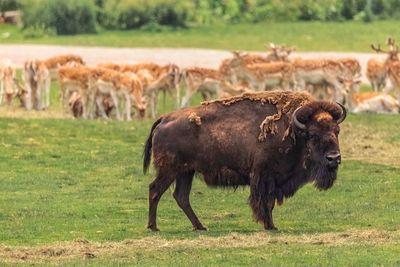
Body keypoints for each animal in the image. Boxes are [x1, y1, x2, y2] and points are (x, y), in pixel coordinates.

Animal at [144, 91, 346, 231]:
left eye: (336, 131)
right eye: (313, 135)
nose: (333, 158)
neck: (294, 132)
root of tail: (164, 119)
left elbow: (269, 202)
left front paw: (270, 225)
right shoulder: (265, 176)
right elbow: (266, 202)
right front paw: (270, 226)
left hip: (186, 172)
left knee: (181, 196)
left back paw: (200, 226)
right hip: (169, 170)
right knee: (155, 190)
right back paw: (154, 227)